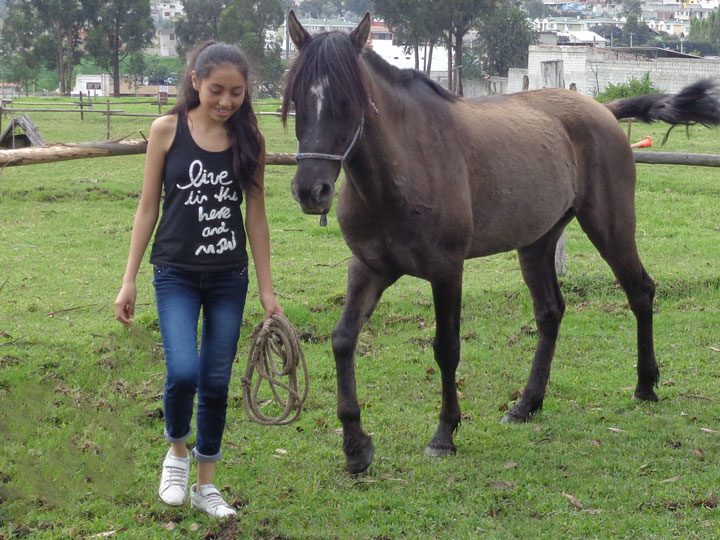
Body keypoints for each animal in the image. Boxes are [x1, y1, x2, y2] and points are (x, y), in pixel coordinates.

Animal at [282, 11, 720, 474]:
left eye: (348, 101)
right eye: (298, 100)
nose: (311, 191)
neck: (400, 170)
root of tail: (602, 109)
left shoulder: (446, 271)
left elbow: (446, 348)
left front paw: (444, 434)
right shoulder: (369, 268)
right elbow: (343, 339)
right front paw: (355, 444)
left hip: (610, 226)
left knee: (640, 291)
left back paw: (645, 385)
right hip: (537, 243)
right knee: (550, 313)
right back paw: (527, 404)